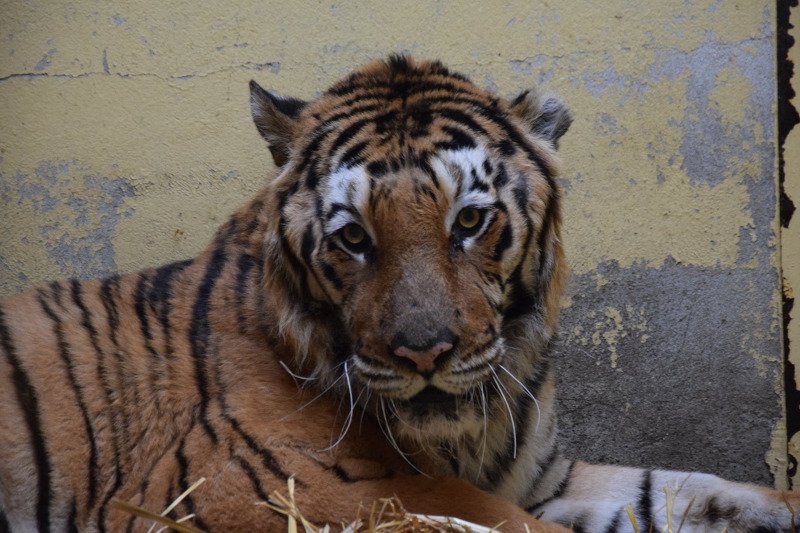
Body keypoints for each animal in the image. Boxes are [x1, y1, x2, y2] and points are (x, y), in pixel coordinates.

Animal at [0, 55, 796, 532]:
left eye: (468, 221)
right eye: (353, 237)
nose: (424, 355)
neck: (463, 437)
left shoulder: (538, 476)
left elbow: (686, 488)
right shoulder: (251, 487)